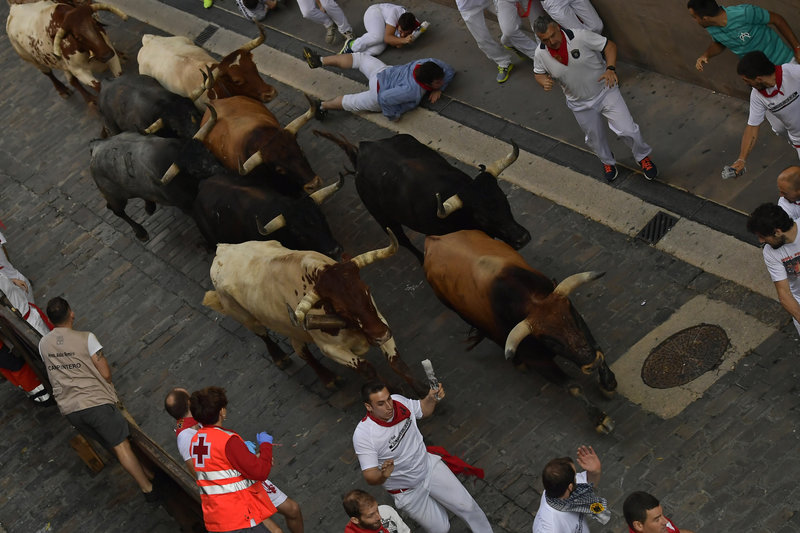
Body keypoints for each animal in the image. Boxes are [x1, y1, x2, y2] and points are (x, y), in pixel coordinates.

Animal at [424, 229, 620, 432]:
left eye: (573, 316)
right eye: (549, 340)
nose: (592, 363)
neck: (530, 300)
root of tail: (432, 239)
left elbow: (597, 347)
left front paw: (608, 383)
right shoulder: (537, 359)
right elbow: (572, 386)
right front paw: (599, 418)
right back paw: (517, 363)